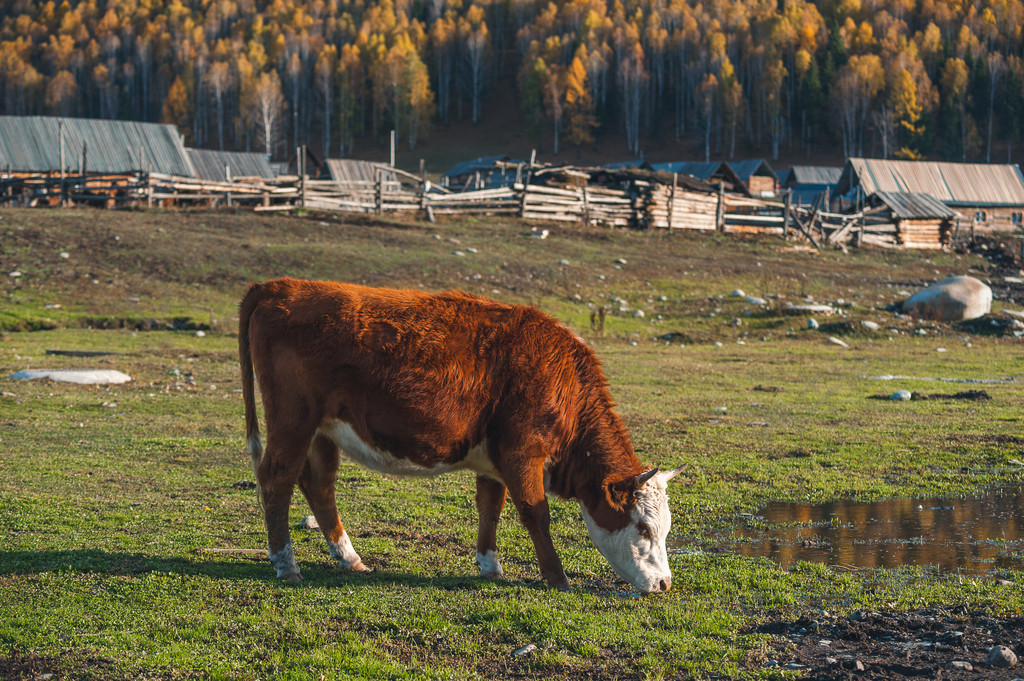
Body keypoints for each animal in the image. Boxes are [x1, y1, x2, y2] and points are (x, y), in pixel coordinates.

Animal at [239, 276, 684, 589]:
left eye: (665, 528)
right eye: (643, 528)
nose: (664, 584)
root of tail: (278, 286)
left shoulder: (495, 460)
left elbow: (490, 508)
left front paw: (490, 566)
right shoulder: (523, 452)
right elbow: (535, 513)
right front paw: (557, 577)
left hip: (323, 430)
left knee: (319, 485)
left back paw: (349, 558)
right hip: (293, 420)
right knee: (276, 479)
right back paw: (286, 564)